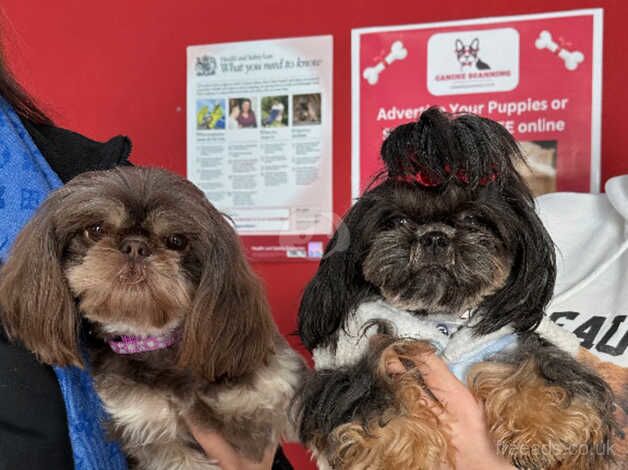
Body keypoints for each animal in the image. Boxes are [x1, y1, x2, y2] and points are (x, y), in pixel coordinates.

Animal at [0, 168, 304, 470]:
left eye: (177, 241)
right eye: (96, 230)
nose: (135, 246)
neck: (154, 342)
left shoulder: (278, 381)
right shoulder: (148, 428)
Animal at [296, 108, 620, 470]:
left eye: (473, 219)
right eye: (397, 221)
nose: (435, 236)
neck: (442, 317)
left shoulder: (517, 339)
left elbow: (538, 365)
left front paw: (545, 427)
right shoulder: (350, 366)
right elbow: (378, 394)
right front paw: (405, 454)